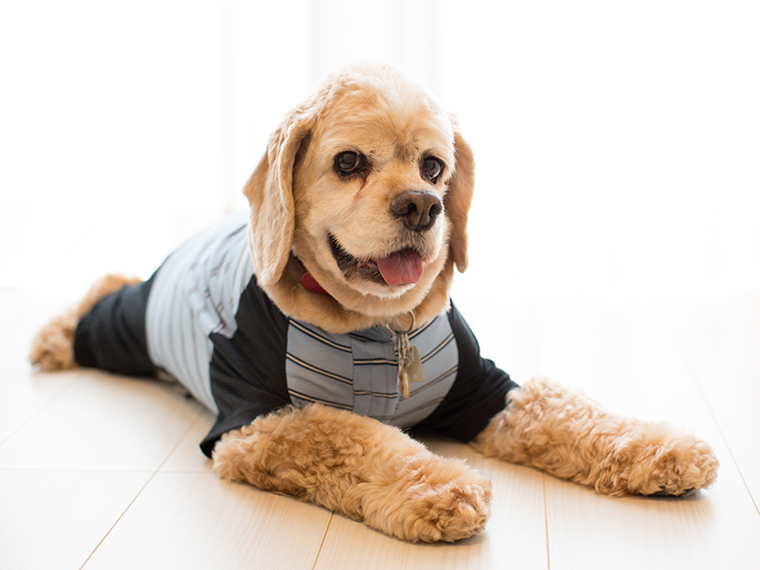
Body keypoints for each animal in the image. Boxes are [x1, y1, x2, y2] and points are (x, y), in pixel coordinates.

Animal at [29, 62, 720, 540]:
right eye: (349, 162)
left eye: (434, 167)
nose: (422, 205)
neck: (382, 328)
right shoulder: (256, 422)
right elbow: (354, 438)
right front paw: (438, 487)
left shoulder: (490, 393)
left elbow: (570, 413)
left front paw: (662, 448)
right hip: (130, 328)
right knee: (105, 297)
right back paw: (55, 337)